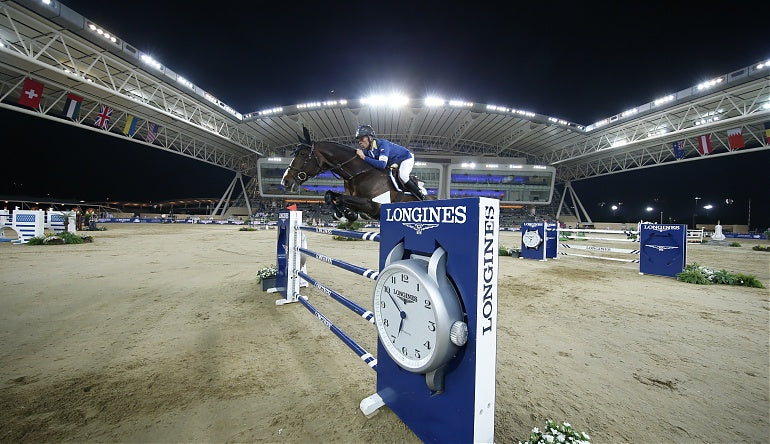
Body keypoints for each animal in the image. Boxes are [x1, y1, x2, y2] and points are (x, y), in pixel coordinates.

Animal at [281, 129, 425, 221]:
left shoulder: (374, 206)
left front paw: (349, 214)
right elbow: (330, 195)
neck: (358, 174)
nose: (285, 181)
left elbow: (340, 199)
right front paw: (341, 214)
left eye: (303, 154)